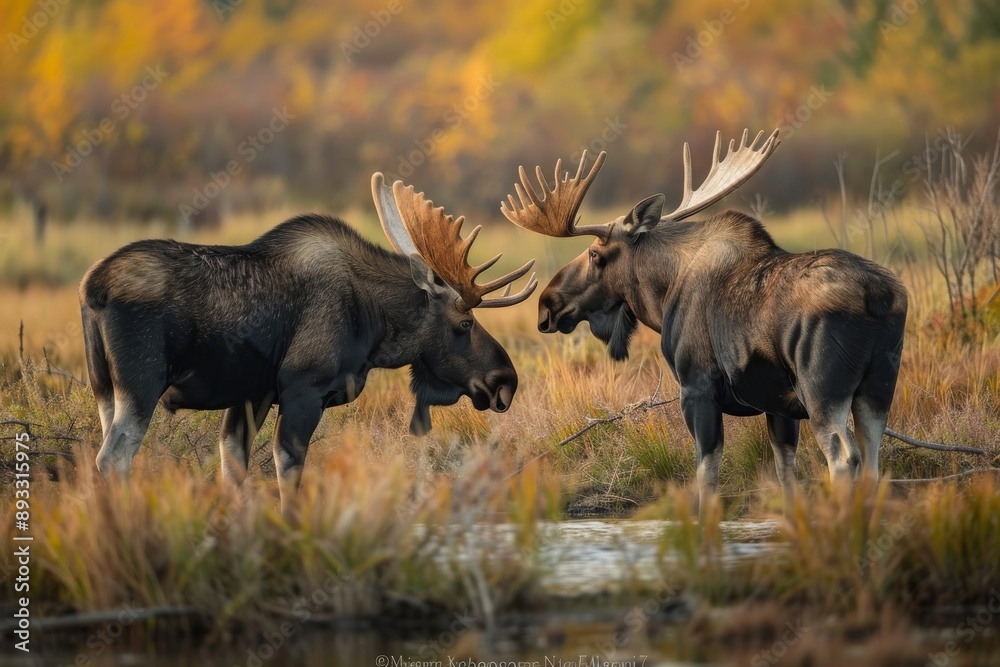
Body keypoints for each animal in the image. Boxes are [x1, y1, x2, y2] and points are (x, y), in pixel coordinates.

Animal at [79, 173, 536, 517]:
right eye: (464, 323)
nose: (505, 379)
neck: (375, 323)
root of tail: (92, 290)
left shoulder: (254, 394)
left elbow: (233, 466)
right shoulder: (304, 390)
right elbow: (289, 475)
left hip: (105, 390)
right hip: (140, 385)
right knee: (112, 459)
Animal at [500, 129, 908, 514]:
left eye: (595, 254)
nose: (547, 305)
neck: (661, 296)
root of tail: (879, 298)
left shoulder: (696, 388)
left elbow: (705, 477)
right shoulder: (778, 406)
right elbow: (786, 474)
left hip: (821, 390)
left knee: (845, 457)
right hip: (878, 387)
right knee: (872, 459)